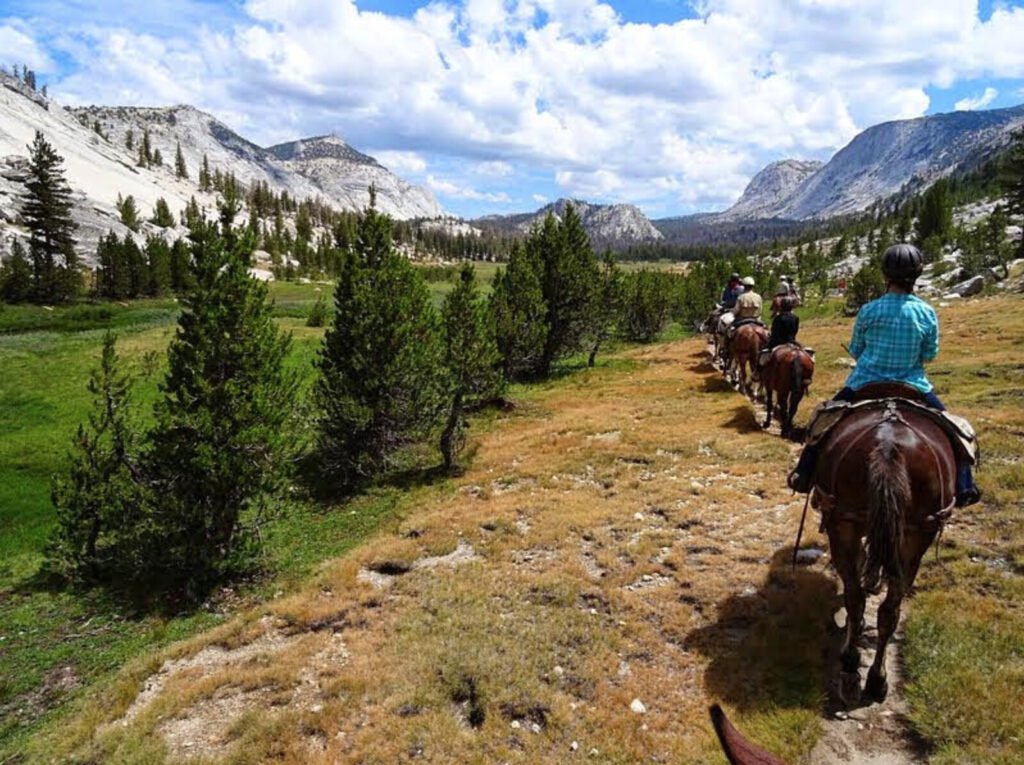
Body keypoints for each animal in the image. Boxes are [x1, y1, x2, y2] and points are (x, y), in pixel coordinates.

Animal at [811, 385, 954, 704]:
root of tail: (888, 446)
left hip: (854, 524)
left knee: (872, 604)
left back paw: (863, 673)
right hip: (906, 533)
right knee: (876, 602)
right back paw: (865, 674)